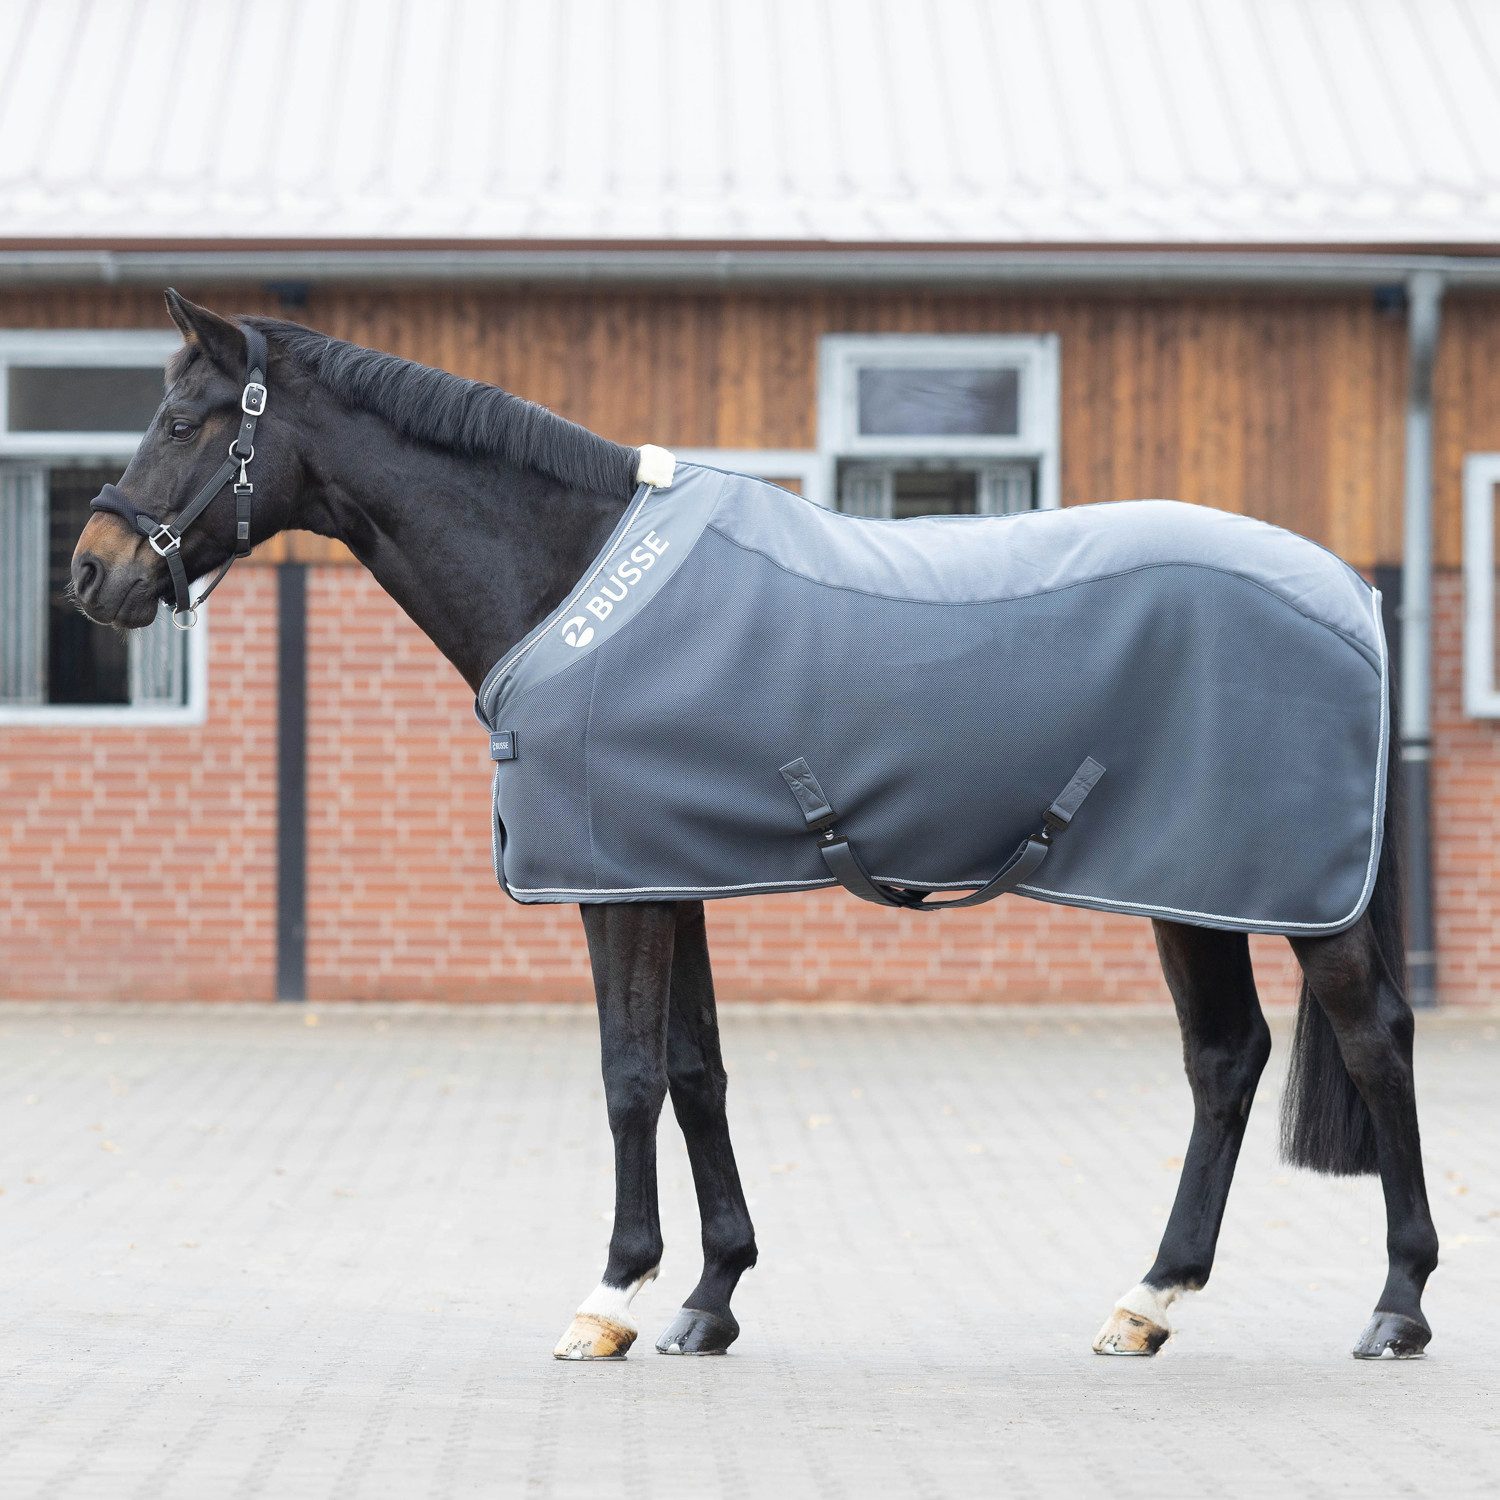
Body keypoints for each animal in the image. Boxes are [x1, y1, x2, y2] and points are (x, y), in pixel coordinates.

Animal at [70, 291, 1438, 1363]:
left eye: (183, 421)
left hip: (1283, 899)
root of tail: (1350, 589)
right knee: (1226, 1061)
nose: (90, 572)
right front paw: (710, 1298)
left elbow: (627, 1079)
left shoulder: (613, 889)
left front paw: (611, 1296)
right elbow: (695, 1073)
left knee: (1372, 1041)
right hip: (1188, 887)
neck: (572, 575)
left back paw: (1398, 1304)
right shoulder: (663, 877)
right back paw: (1149, 1301)